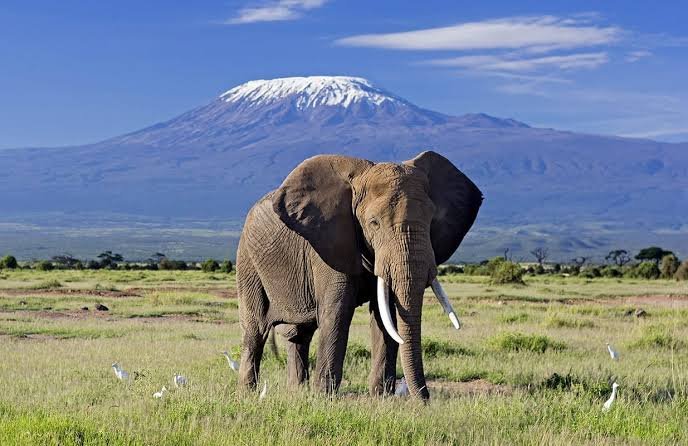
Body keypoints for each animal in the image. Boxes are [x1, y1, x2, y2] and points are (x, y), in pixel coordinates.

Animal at [235, 150, 482, 399]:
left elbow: (385, 315)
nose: (425, 402)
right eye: (374, 223)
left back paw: (297, 392)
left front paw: (381, 398)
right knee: (256, 329)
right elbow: (337, 312)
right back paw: (248, 394)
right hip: (247, 261)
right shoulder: (329, 244)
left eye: (432, 220)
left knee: (299, 334)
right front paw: (325, 398)